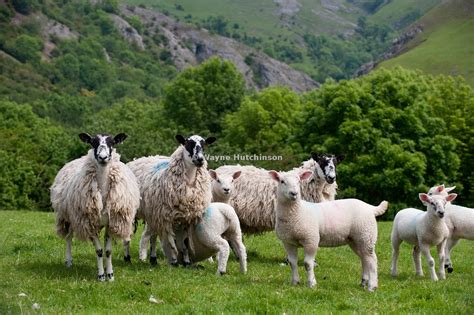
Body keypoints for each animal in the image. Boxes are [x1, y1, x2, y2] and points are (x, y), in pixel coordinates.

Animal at [52, 133, 141, 282]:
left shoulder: (111, 222)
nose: (103, 157)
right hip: (68, 216)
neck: (103, 193)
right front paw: (101, 276)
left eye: (112, 143)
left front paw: (110, 275)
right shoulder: (90, 222)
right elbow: (99, 251)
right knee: (69, 237)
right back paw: (69, 261)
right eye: (93, 142)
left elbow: (108, 251)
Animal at [126, 135, 215, 266]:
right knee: (128, 236)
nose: (200, 159)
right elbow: (171, 242)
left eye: (204, 145)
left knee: (153, 236)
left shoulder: (187, 218)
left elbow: (185, 243)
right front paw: (174, 261)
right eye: (188, 143)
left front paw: (186, 262)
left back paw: (153, 259)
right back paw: (127, 258)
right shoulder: (166, 217)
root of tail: (135, 160)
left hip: (153, 214)